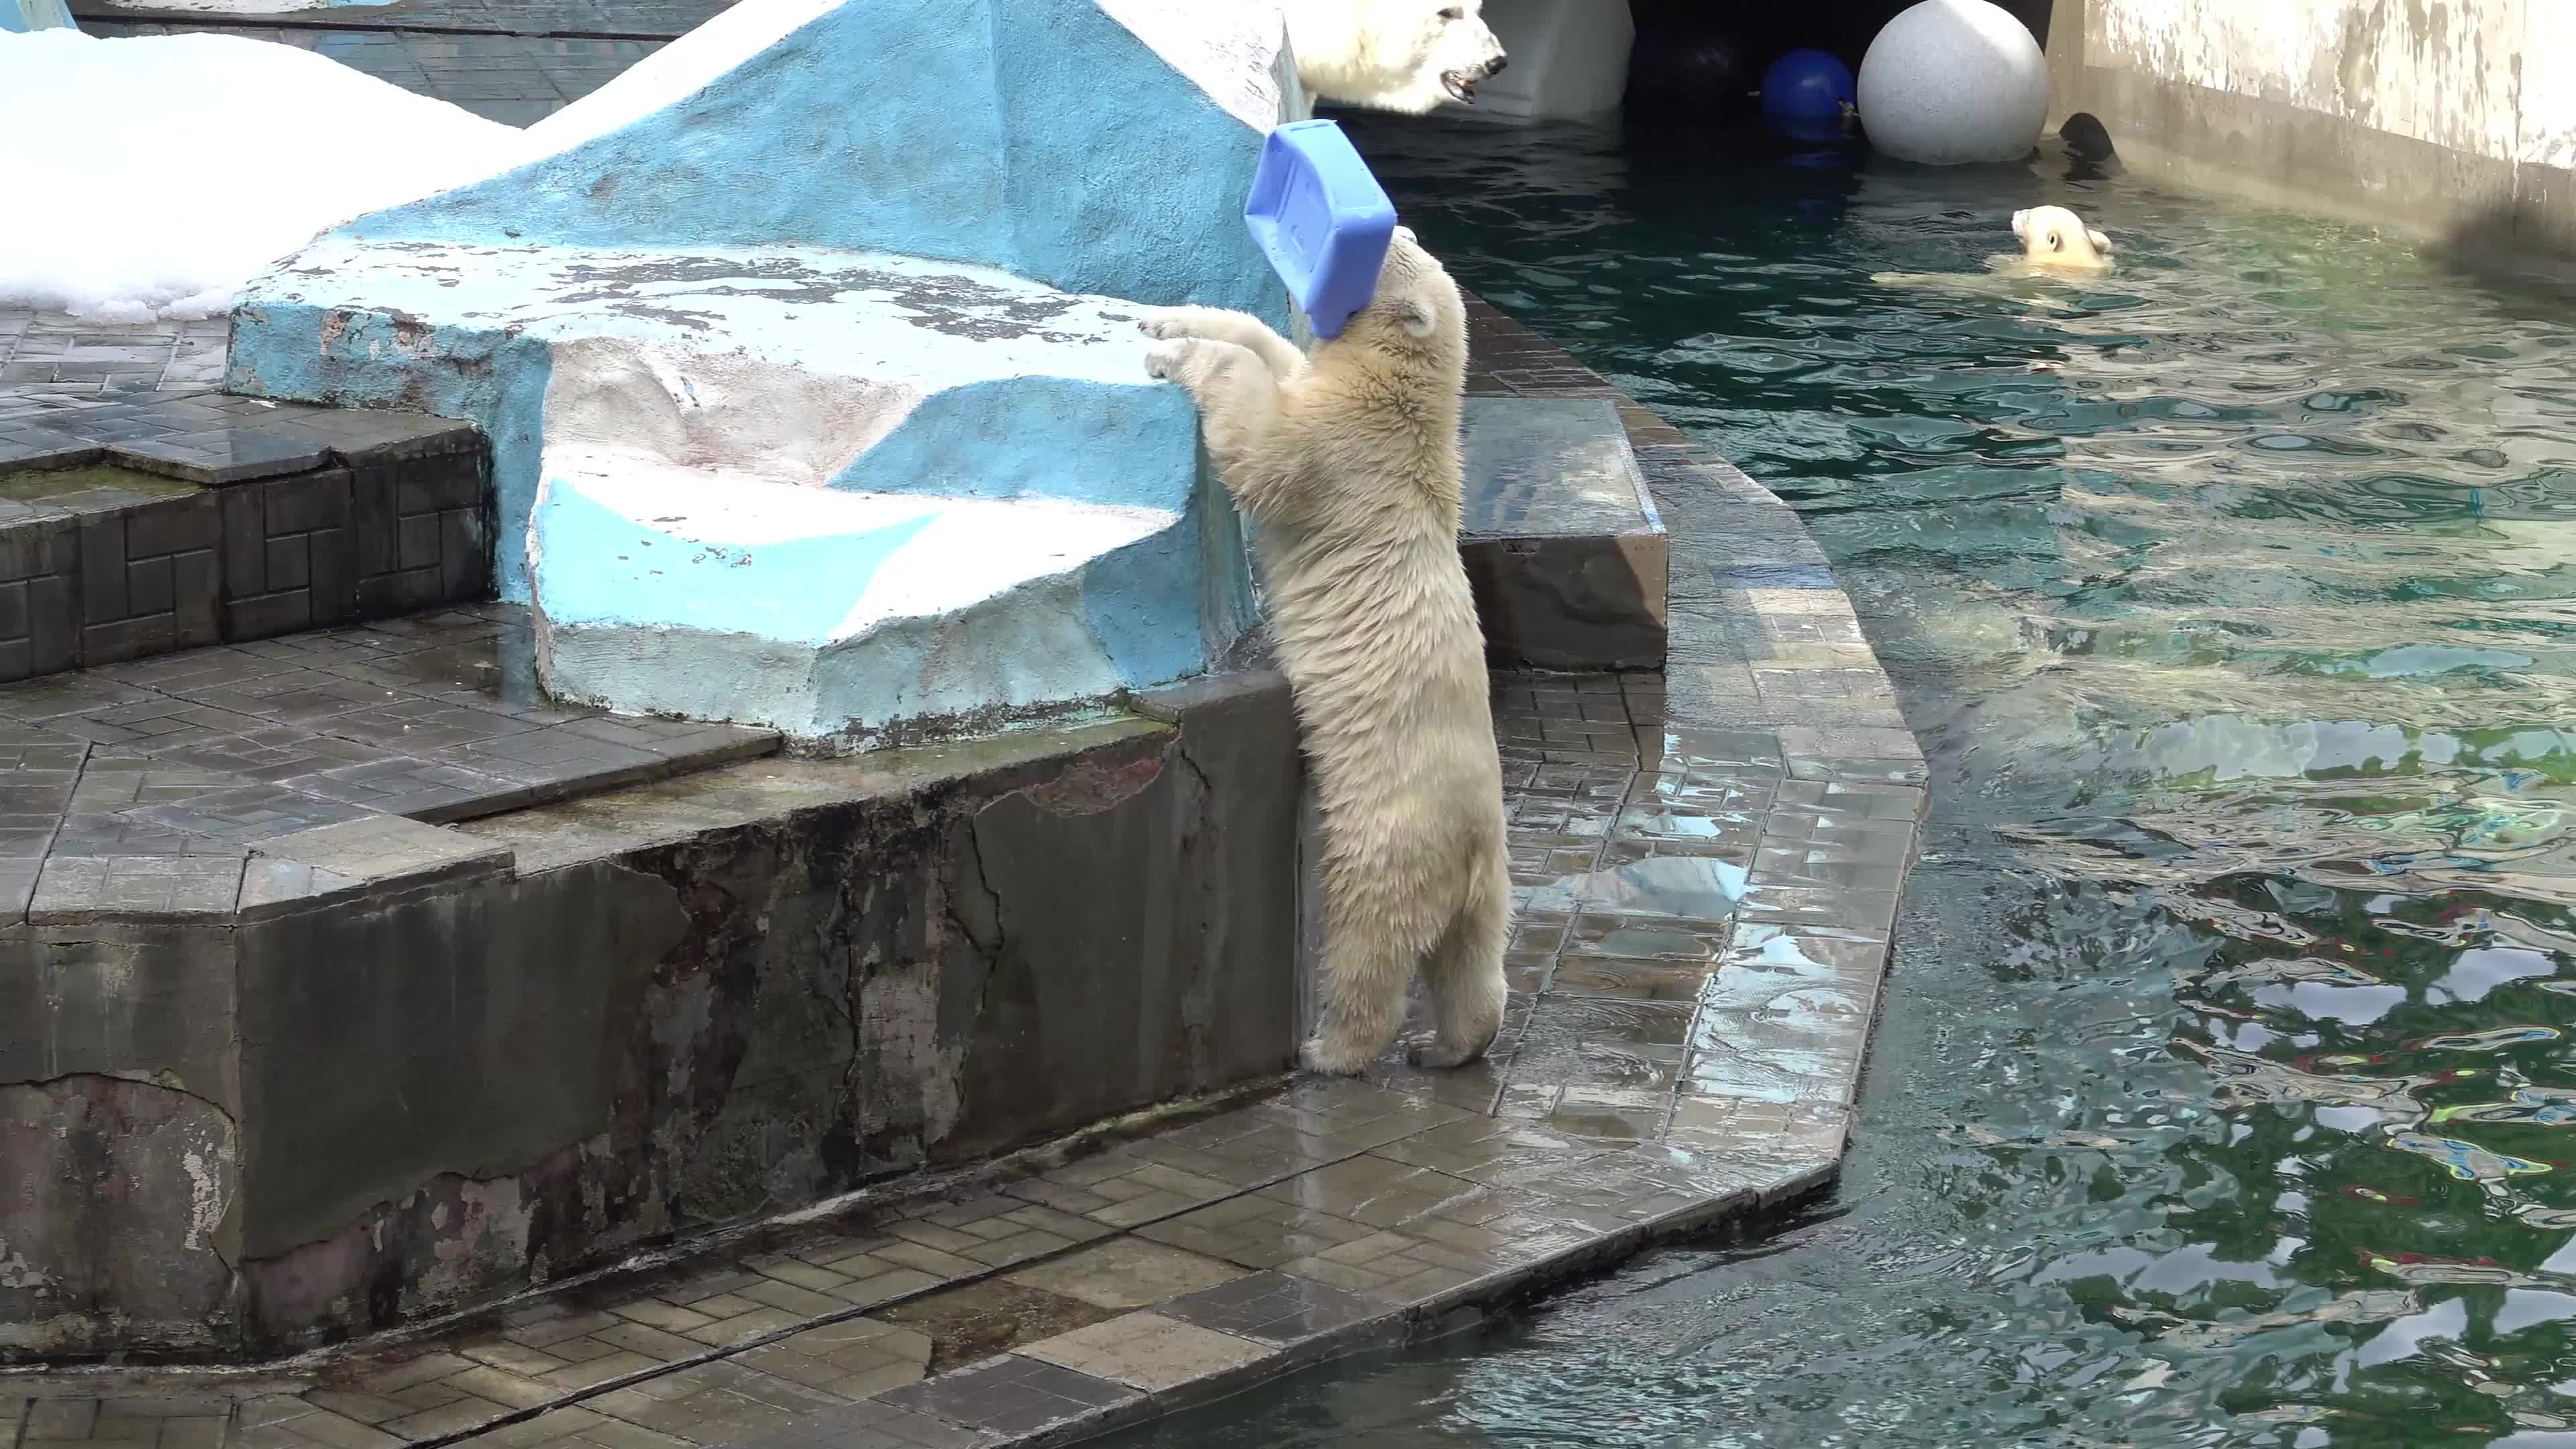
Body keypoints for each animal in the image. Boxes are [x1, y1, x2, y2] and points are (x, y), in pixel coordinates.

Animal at [1133, 228, 1504, 1072]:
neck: (1406, 403)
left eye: (1391, 247)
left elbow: (1262, 437)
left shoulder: (1342, 451)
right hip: (1488, 879)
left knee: (1368, 940)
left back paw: (1330, 1047)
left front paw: (1174, 355)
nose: (1389, 220)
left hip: (1388, 831)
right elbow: (1275, 352)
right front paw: (1165, 318)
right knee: (1471, 960)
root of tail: (1470, 844)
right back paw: (1449, 1045)